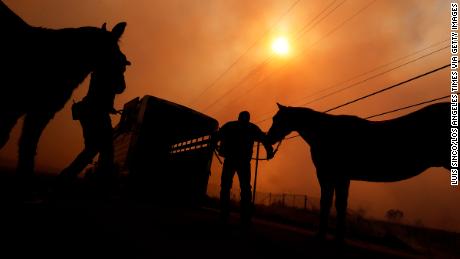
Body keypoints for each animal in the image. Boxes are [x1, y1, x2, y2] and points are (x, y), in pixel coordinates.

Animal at [0, 1, 130, 182]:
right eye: (120, 59)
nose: (121, 86)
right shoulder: (35, 110)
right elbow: (25, 146)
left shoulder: (22, 110)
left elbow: (20, 143)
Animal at [266, 102, 450, 241]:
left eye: (278, 119)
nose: (269, 138)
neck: (326, 132)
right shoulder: (342, 177)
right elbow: (340, 204)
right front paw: (338, 237)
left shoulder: (328, 175)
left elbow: (327, 202)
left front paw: (323, 235)